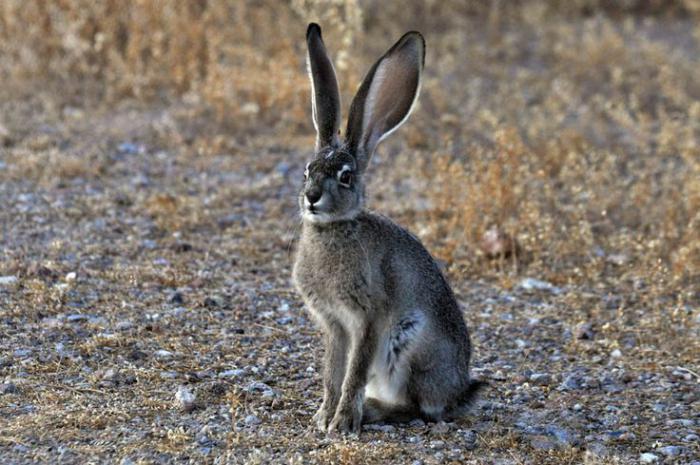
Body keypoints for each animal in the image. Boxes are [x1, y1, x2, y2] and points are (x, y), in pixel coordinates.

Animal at [293, 23, 483, 435]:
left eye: (346, 177)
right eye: (306, 171)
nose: (312, 197)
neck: (334, 229)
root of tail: (459, 391)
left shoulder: (370, 318)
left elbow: (354, 372)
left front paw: (342, 423)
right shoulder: (334, 324)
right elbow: (333, 372)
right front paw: (322, 417)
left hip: (408, 343)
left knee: (420, 409)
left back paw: (374, 410)